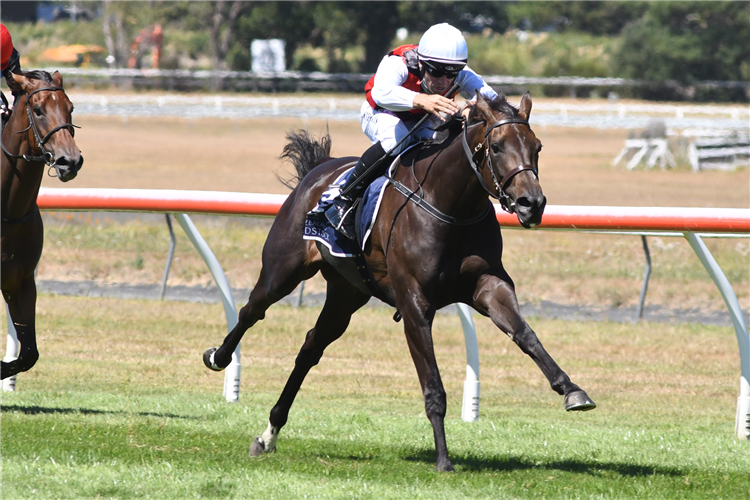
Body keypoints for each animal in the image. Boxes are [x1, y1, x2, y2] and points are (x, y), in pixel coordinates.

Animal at [0, 71, 83, 378]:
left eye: (71, 107)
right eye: (37, 110)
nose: (70, 161)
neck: (8, 210)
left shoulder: (20, 282)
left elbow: (28, 355)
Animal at [204, 92, 592, 470]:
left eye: (537, 146)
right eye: (496, 146)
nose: (532, 204)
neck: (450, 205)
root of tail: (317, 171)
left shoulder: (488, 285)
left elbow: (526, 335)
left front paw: (571, 389)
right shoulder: (414, 302)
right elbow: (433, 385)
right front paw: (443, 459)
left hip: (346, 293)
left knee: (311, 347)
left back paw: (269, 433)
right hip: (283, 269)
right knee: (252, 310)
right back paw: (219, 357)